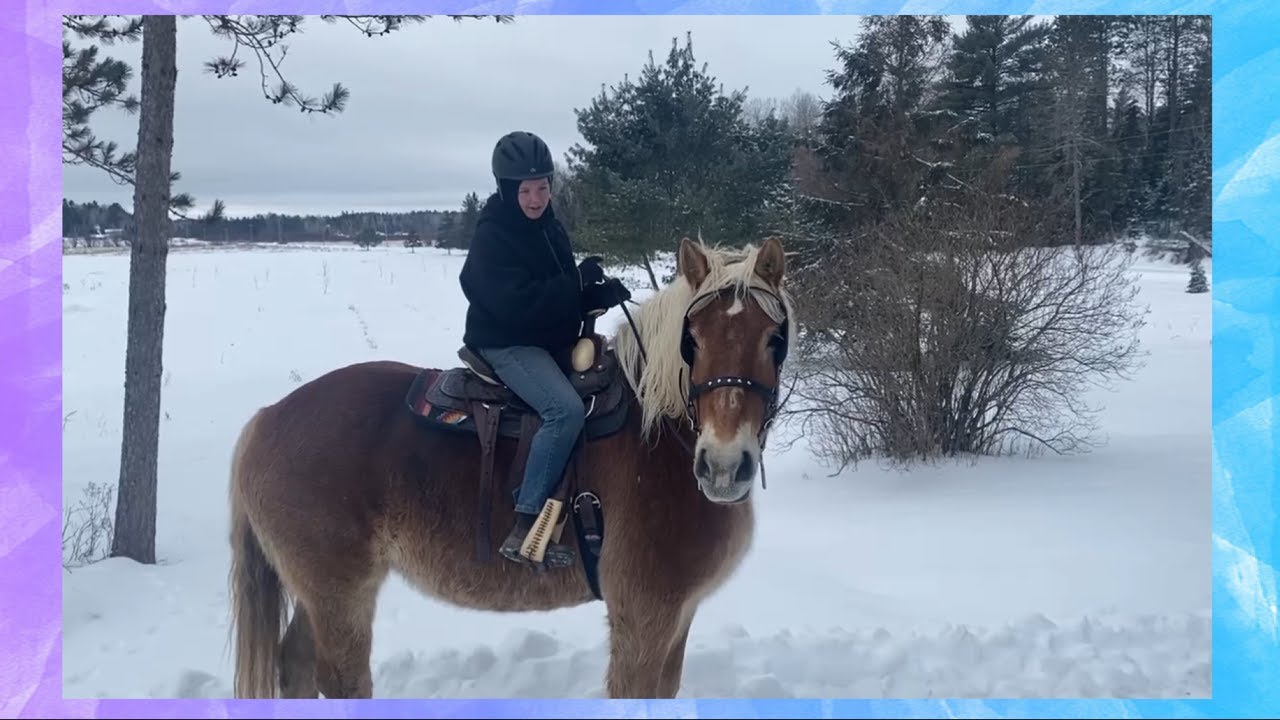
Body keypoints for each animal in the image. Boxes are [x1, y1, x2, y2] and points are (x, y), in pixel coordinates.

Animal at [227, 235, 796, 699]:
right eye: (691, 339)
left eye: (773, 340)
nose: (722, 466)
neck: (659, 437)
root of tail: (266, 418)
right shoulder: (645, 616)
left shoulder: (679, 616)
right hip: (339, 592)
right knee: (340, 680)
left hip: (319, 594)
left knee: (295, 666)